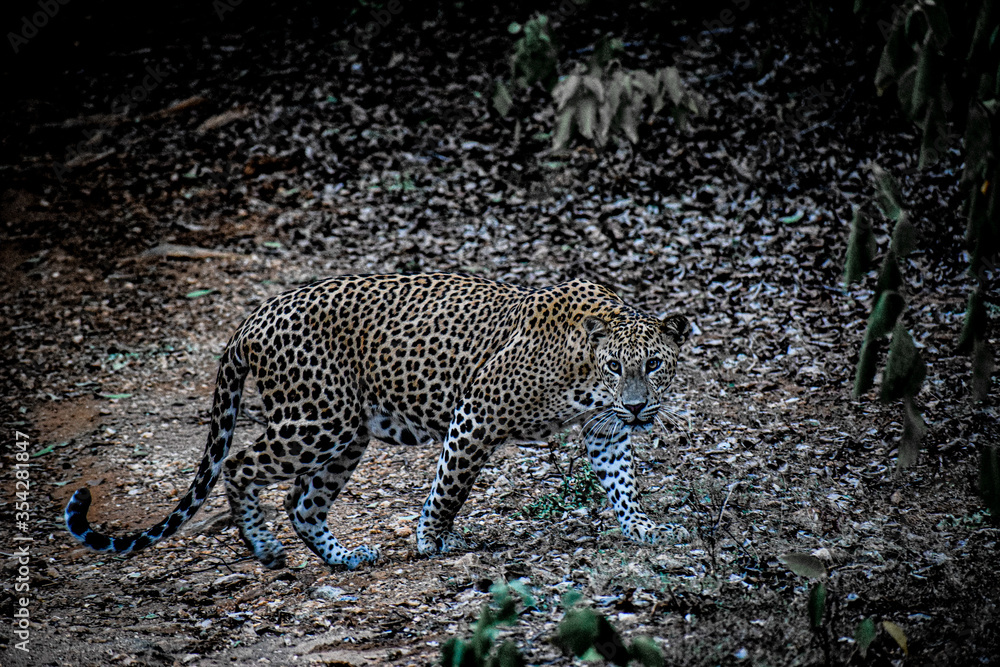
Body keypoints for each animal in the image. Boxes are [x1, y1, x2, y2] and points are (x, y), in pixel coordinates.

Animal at [66, 273, 689, 570]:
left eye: (654, 365)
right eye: (616, 365)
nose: (639, 406)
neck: (583, 373)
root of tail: (252, 319)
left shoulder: (607, 430)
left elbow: (622, 485)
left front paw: (646, 530)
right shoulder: (477, 413)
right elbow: (450, 487)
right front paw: (431, 541)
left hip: (346, 434)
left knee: (302, 501)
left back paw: (343, 558)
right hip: (316, 420)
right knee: (240, 465)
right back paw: (265, 549)